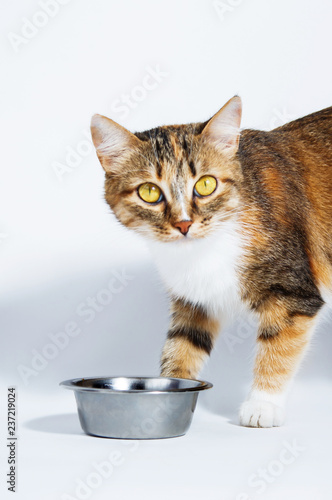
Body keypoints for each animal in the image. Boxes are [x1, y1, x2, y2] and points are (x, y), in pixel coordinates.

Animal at [90, 96, 332, 426]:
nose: (183, 224)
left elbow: (279, 347)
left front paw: (263, 404)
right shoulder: (195, 301)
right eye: (149, 192)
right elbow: (181, 346)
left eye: (206, 185)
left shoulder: (293, 293)